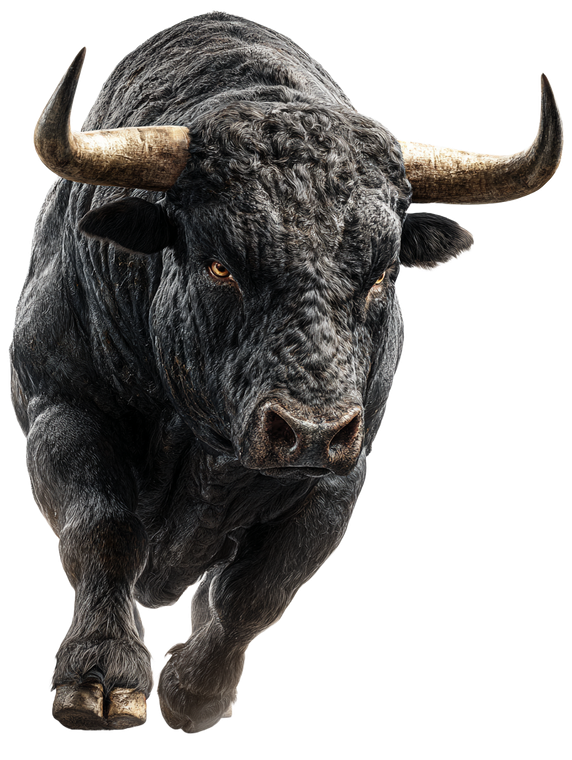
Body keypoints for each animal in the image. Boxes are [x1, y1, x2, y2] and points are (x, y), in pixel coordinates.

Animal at [9, 10, 563, 733]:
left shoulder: (338, 477)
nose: (308, 431)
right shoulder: (64, 409)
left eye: (382, 273)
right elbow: (104, 531)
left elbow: (257, 591)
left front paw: (195, 691)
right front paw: (100, 680)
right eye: (219, 264)